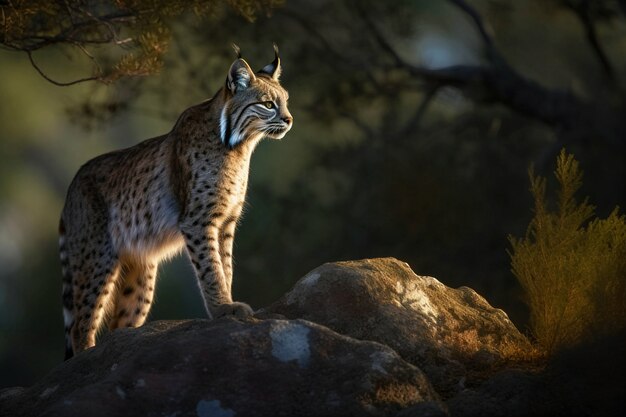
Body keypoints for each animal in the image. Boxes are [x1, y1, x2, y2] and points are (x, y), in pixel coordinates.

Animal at [58, 44, 292, 358]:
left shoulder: (227, 221)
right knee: (80, 325)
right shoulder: (198, 220)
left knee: (118, 325)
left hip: (140, 275)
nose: (290, 120)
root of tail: (73, 184)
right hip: (96, 257)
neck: (238, 148)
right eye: (268, 104)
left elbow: (226, 265)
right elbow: (210, 267)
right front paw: (223, 310)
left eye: (286, 102)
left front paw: (226, 304)